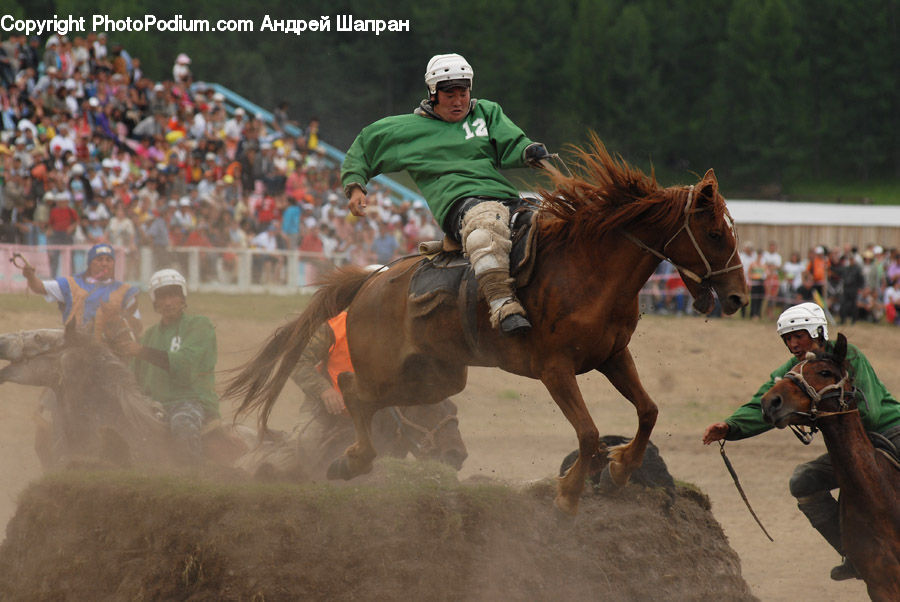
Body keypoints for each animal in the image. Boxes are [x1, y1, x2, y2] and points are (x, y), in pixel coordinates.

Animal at [227, 140, 748, 514]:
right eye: (714, 234)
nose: (739, 297)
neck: (585, 269)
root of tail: (370, 282)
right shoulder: (555, 370)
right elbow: (587, 434)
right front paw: (569, 491)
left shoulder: (612, 357)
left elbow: (648, 410)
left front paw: (621, 468)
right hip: (387, 368)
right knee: (354, 390)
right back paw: (352, 458)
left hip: (436, 378)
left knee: (373, 399)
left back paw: (352, 459)